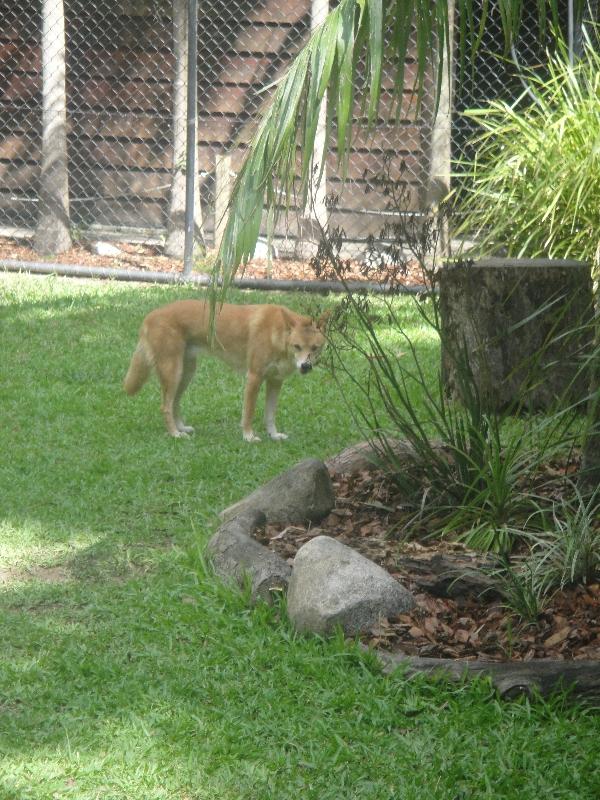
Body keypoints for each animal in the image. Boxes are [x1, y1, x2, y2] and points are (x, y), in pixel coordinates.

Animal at [123, 298, 328, 440]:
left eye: (315, 348)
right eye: (297, 346)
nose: (306, 366)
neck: (277, 335)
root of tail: (149, 317)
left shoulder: (275, 381)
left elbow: (270, 415)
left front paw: (274, 435)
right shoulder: (254, 377)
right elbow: (249, 412)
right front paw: (248, 436)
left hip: (185, 374)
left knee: (174, 403)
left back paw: (181, 427)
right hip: (173, 372)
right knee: (165, 406)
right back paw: (175, 434)